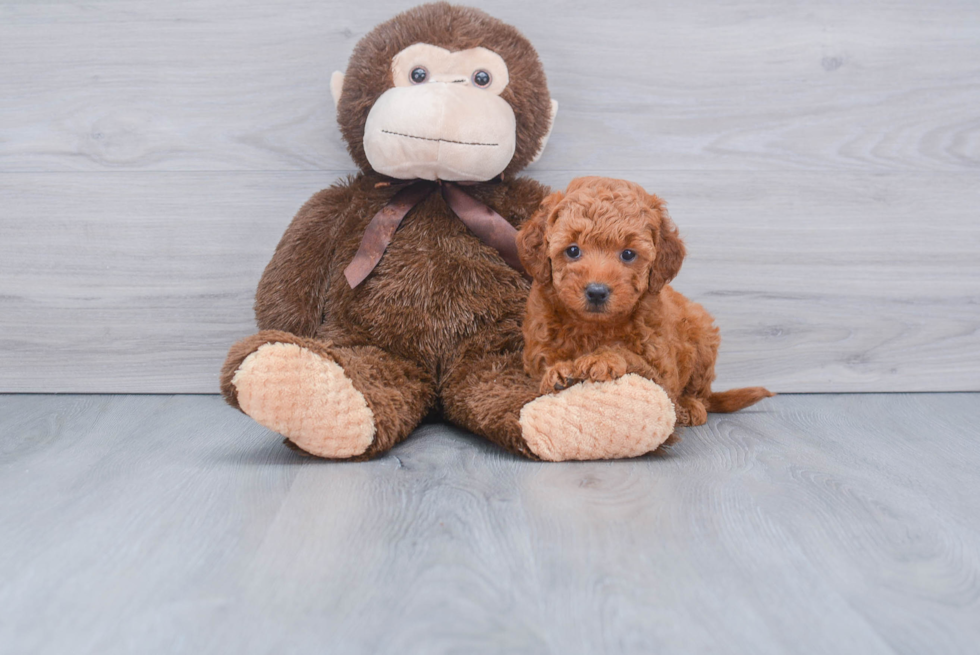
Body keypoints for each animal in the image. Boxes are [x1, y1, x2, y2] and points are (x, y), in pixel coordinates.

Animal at [516, 177, 768, 428]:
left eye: (628, 254)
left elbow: (625, 352)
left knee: (701, 395)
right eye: (573, 250)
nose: (597, 292)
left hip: (703, 335)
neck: (594, 326)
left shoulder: (662, 375)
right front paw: (560, 372)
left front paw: (601, 358)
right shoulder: (537, 354)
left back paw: (690, 408)